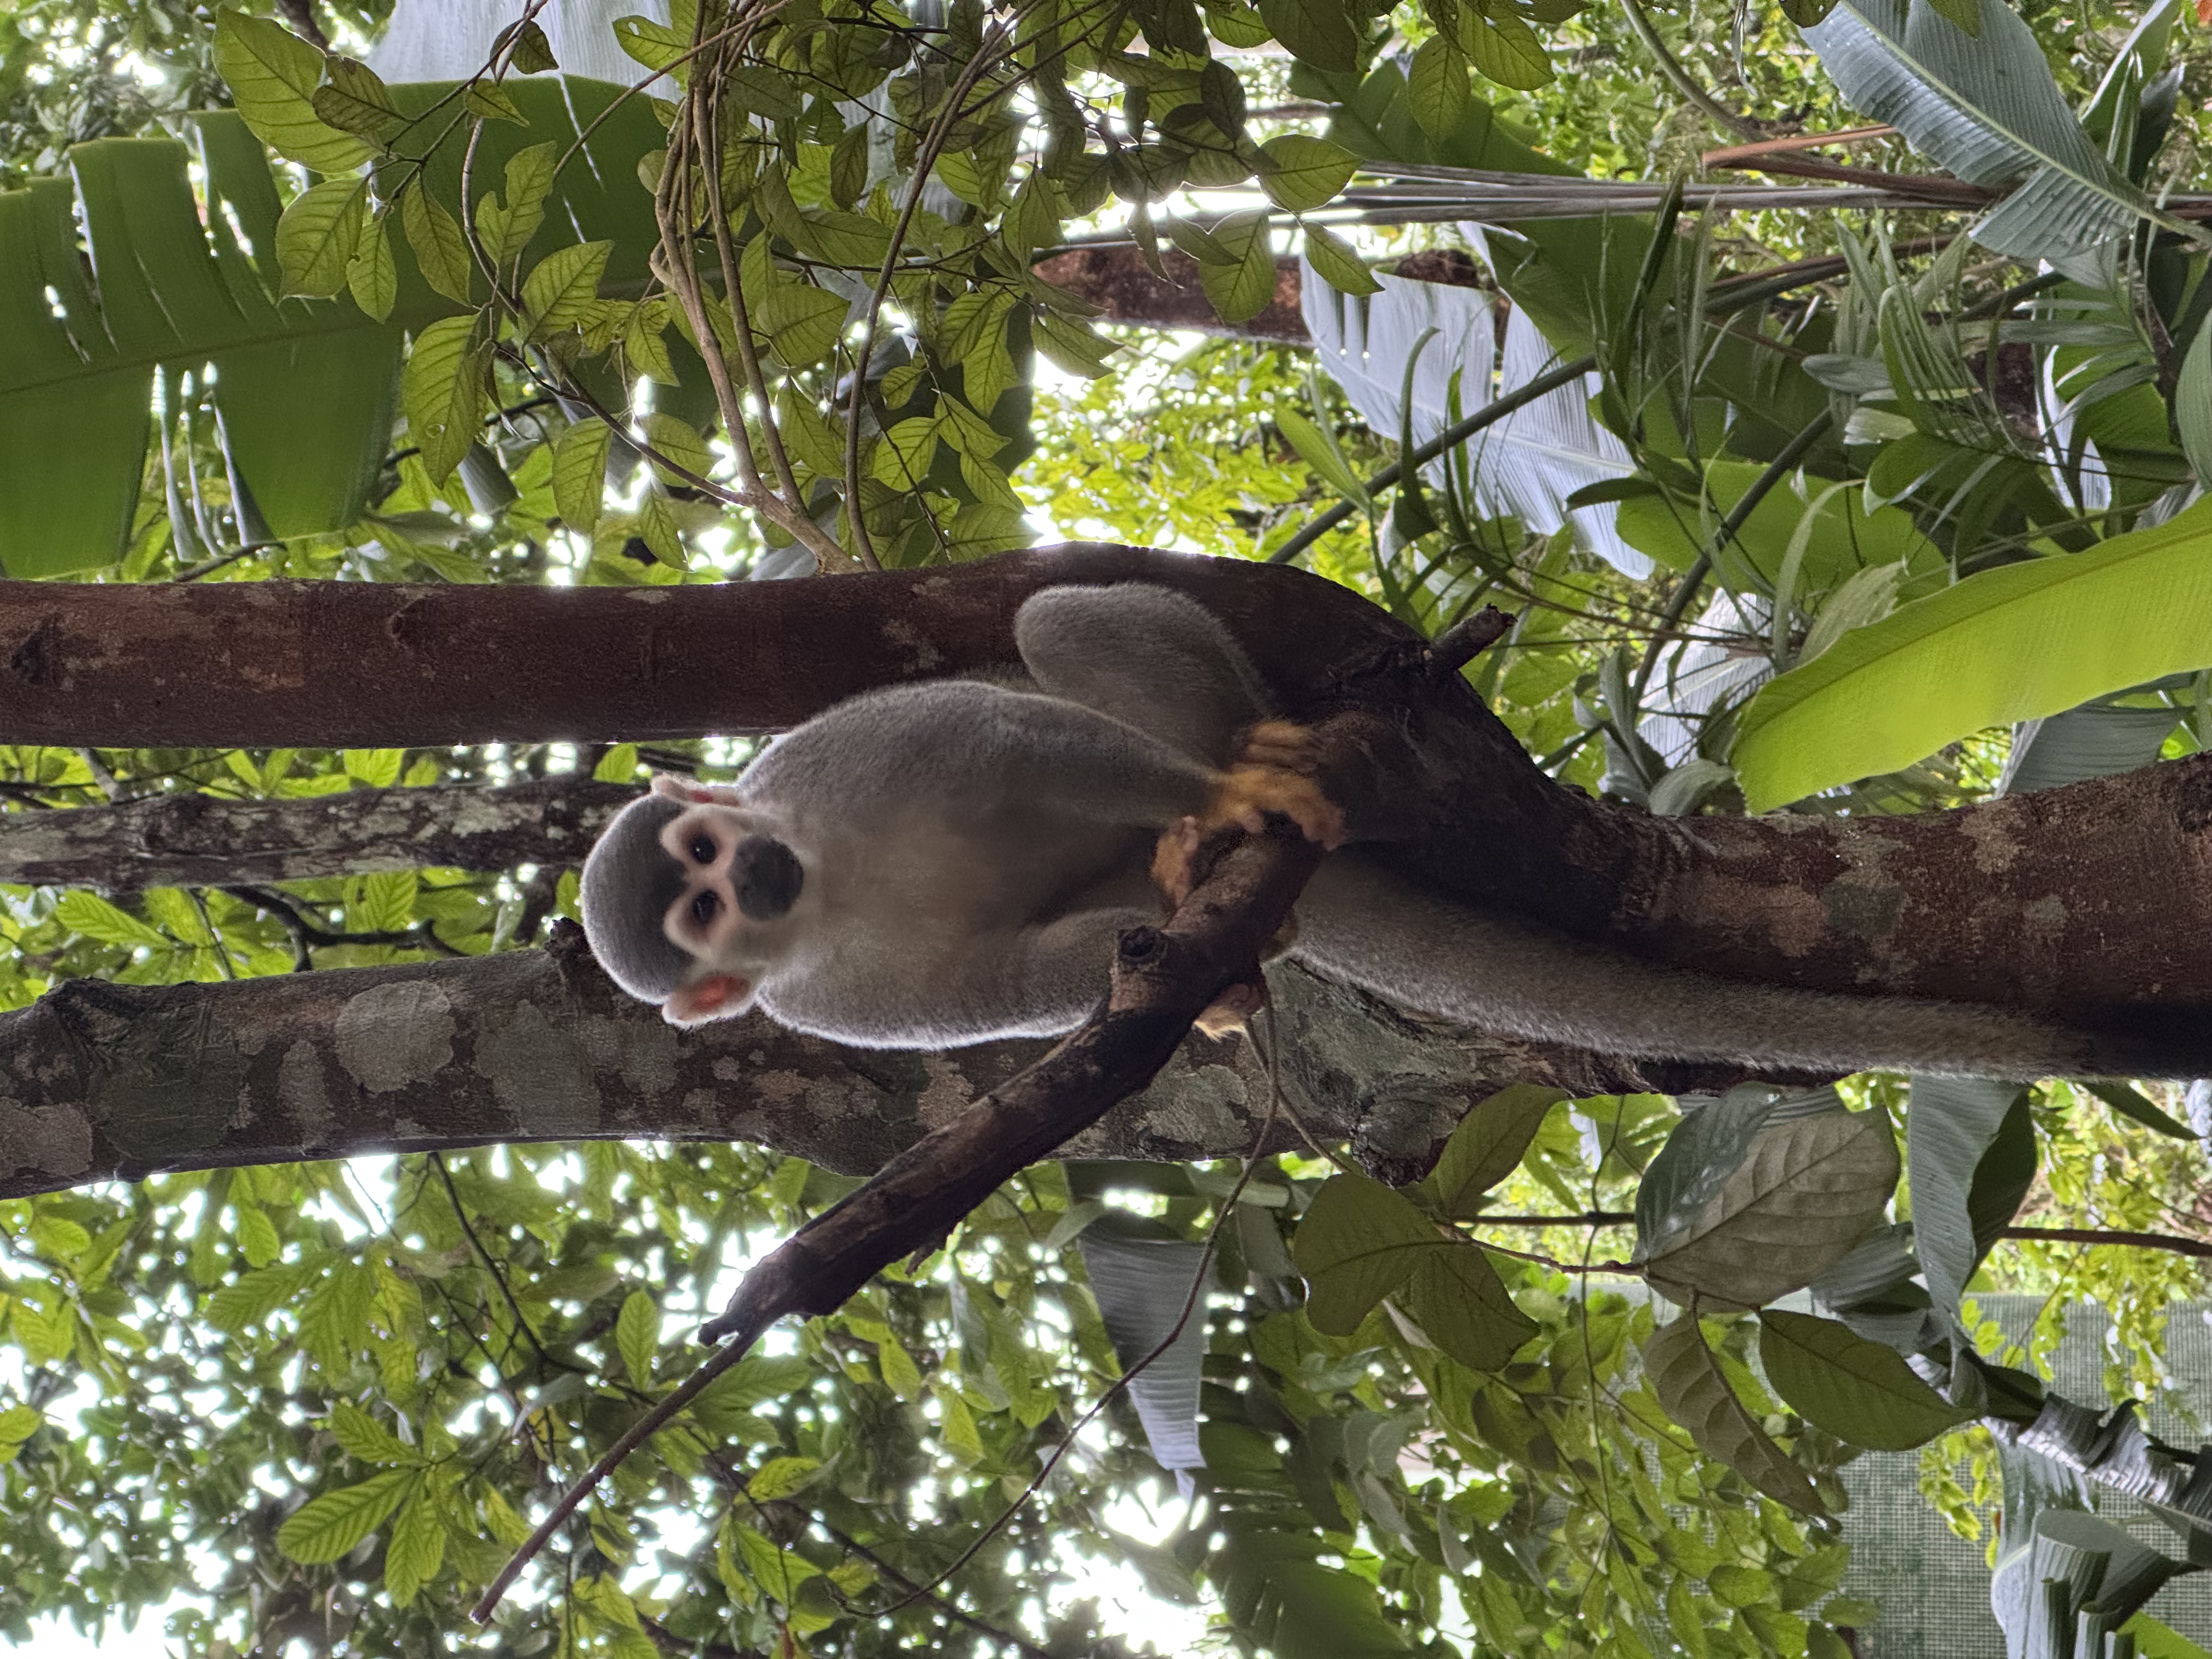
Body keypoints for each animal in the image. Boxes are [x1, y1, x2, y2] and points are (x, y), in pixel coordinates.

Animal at [578, 582, 2117, 1080]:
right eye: (703, 918)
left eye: (706, 867)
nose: (754, 865)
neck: (832, 871)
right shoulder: (825, 996)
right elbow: (1000, 983)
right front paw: (1184, 996)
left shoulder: (836, 770)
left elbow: (1020, 734)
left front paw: (1219, 803)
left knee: (1064, 628)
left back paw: (1252, 782)